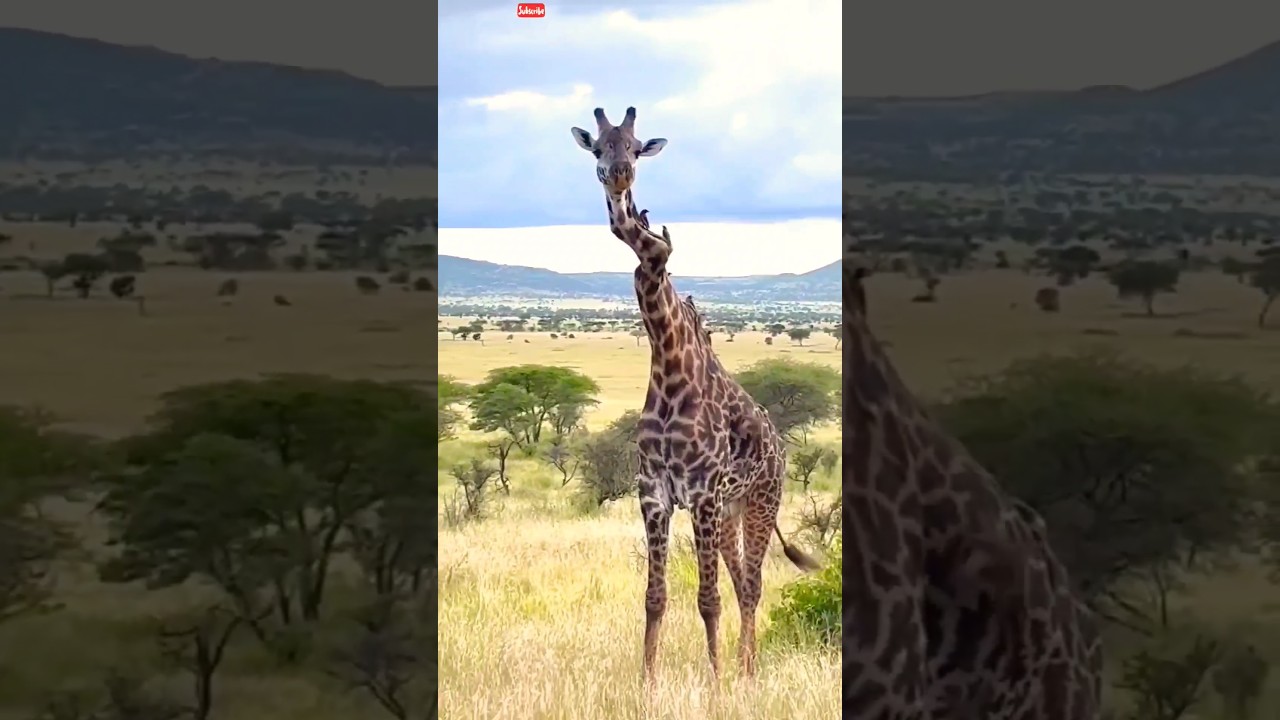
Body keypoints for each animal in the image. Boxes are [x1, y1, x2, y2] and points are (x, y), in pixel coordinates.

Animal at [570, 107, 821, 686]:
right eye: (599, 147)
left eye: (635, 146)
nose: (619, 177)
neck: (667, 369)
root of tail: (780, 447)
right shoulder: (654, 493)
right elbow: (655, 597)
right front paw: (647, 684)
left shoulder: (702, 491)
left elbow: (707, 599)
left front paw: (715, 684)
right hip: (728, 512)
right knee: (741, 582)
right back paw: (745, 667)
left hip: (758, 501)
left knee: (751, 586)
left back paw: (746, 673)